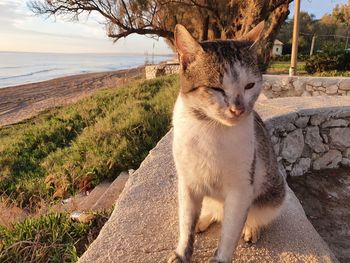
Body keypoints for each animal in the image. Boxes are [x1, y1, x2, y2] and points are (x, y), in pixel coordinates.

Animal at [168, 21, 286, 263]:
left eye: (250, 85)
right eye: (216, 88)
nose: (238, 109)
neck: (211, 129)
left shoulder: (240, 190)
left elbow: (229, 235)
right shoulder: (187, 182)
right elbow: (186, 223)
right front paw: (182, 252)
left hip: (274, 193)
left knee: (255, 215)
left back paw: (251, 228)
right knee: (212, 212)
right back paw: (204, 219)